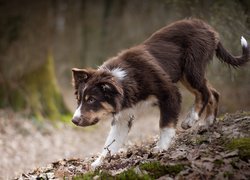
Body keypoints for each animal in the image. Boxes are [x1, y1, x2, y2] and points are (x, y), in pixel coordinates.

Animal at [71, 19, 249, 168]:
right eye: (79, 100)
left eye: (92, 100)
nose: (74, 120)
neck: (123, 80)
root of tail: (208, 27)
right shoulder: (124, 115)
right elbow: (112, 141)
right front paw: (98, 163)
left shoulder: (169, 93)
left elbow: (165, 124)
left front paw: (161, 148)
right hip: (185, 74)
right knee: (213, 92)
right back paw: (208, 122)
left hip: (191, 69)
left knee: (204, 93)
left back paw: (191, 119)